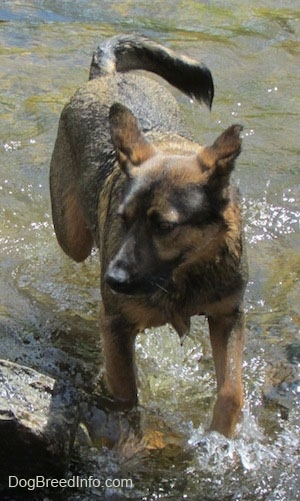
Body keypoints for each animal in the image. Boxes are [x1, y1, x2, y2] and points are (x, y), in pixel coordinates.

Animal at [49, 33, 246, 436]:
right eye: (123, 218)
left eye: (165, 227)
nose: (112, 280)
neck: (184, 277)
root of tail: (106, 76)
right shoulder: (117, 326)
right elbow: (127, 399)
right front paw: (131, 436)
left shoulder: (227, 315)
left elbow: (231, 392)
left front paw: (222, 439)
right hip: (72, 235)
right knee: (78, 244)